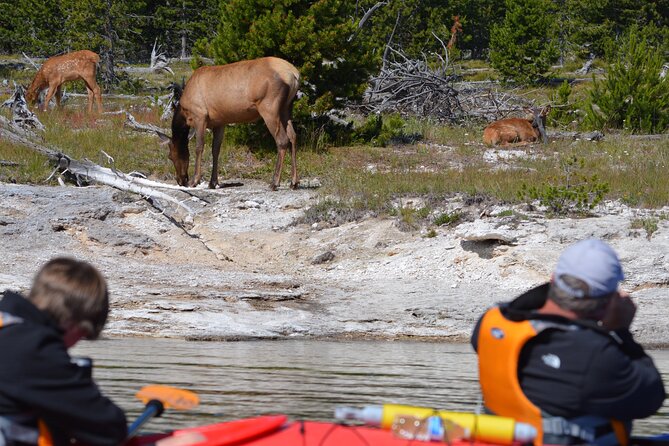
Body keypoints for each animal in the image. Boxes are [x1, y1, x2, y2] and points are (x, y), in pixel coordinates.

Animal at [157, 55, 298, 190]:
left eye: (170, 156)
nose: (181, 180)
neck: (184, 112)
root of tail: (294, 74)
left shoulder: (200, 116)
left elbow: (199, 147)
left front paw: (195, 180)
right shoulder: (219, 122)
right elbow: (215, 150)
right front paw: (213, 182)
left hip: (269, 108)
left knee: (282, 140)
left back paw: (274, 183)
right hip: (287, 107)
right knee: (292, 136)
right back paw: (294, 182)